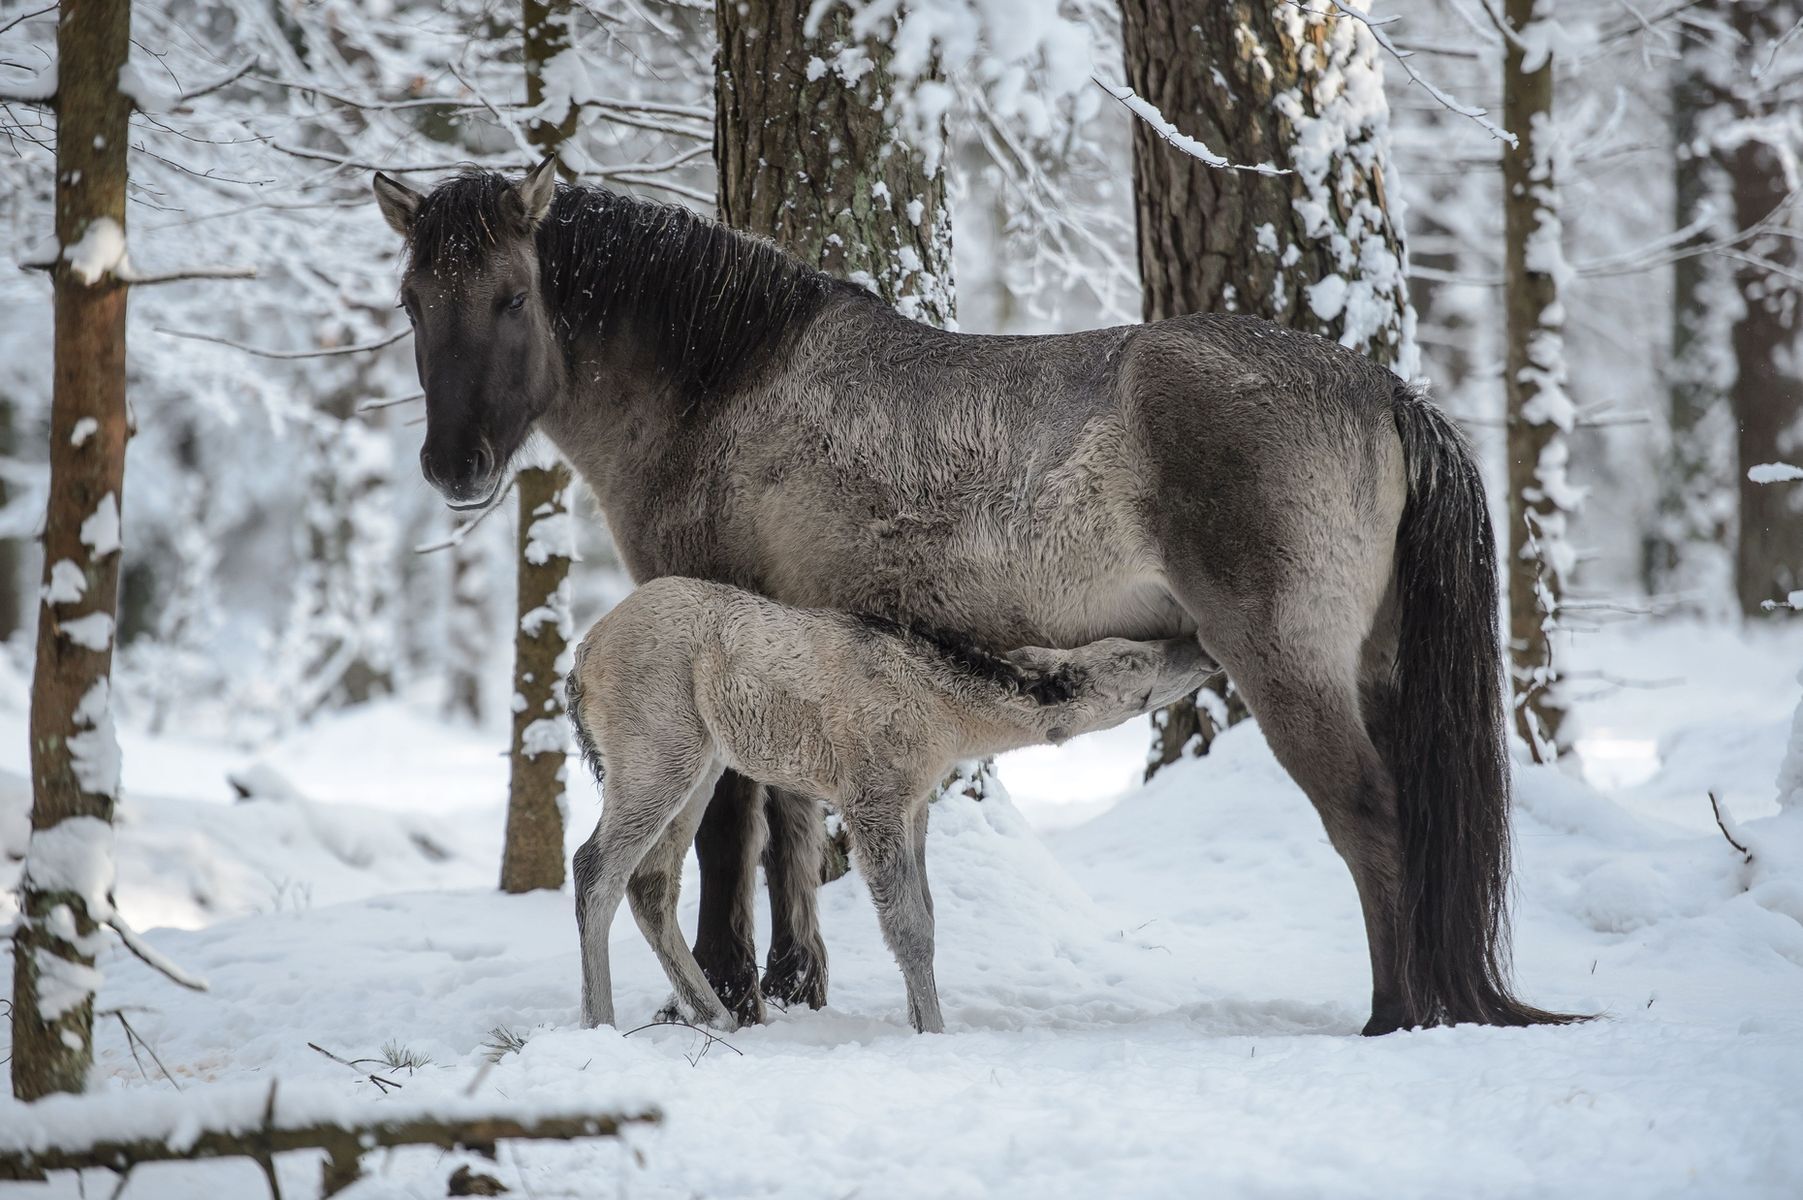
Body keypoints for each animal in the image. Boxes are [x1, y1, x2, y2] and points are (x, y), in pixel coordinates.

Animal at [562, 576, 1211, 1030]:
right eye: (1134, 663)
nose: (1200, 648)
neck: (950, 724)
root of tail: (581, 660)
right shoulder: (871, 797)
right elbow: (909, 927)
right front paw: (936, 1030)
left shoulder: (915, 804)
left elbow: (927, 913)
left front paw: (917, 1019)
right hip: (657, 752)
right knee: (594, 867)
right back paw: (600, 1020)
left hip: (701, 764)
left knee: (651, 884)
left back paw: (717, 1017)